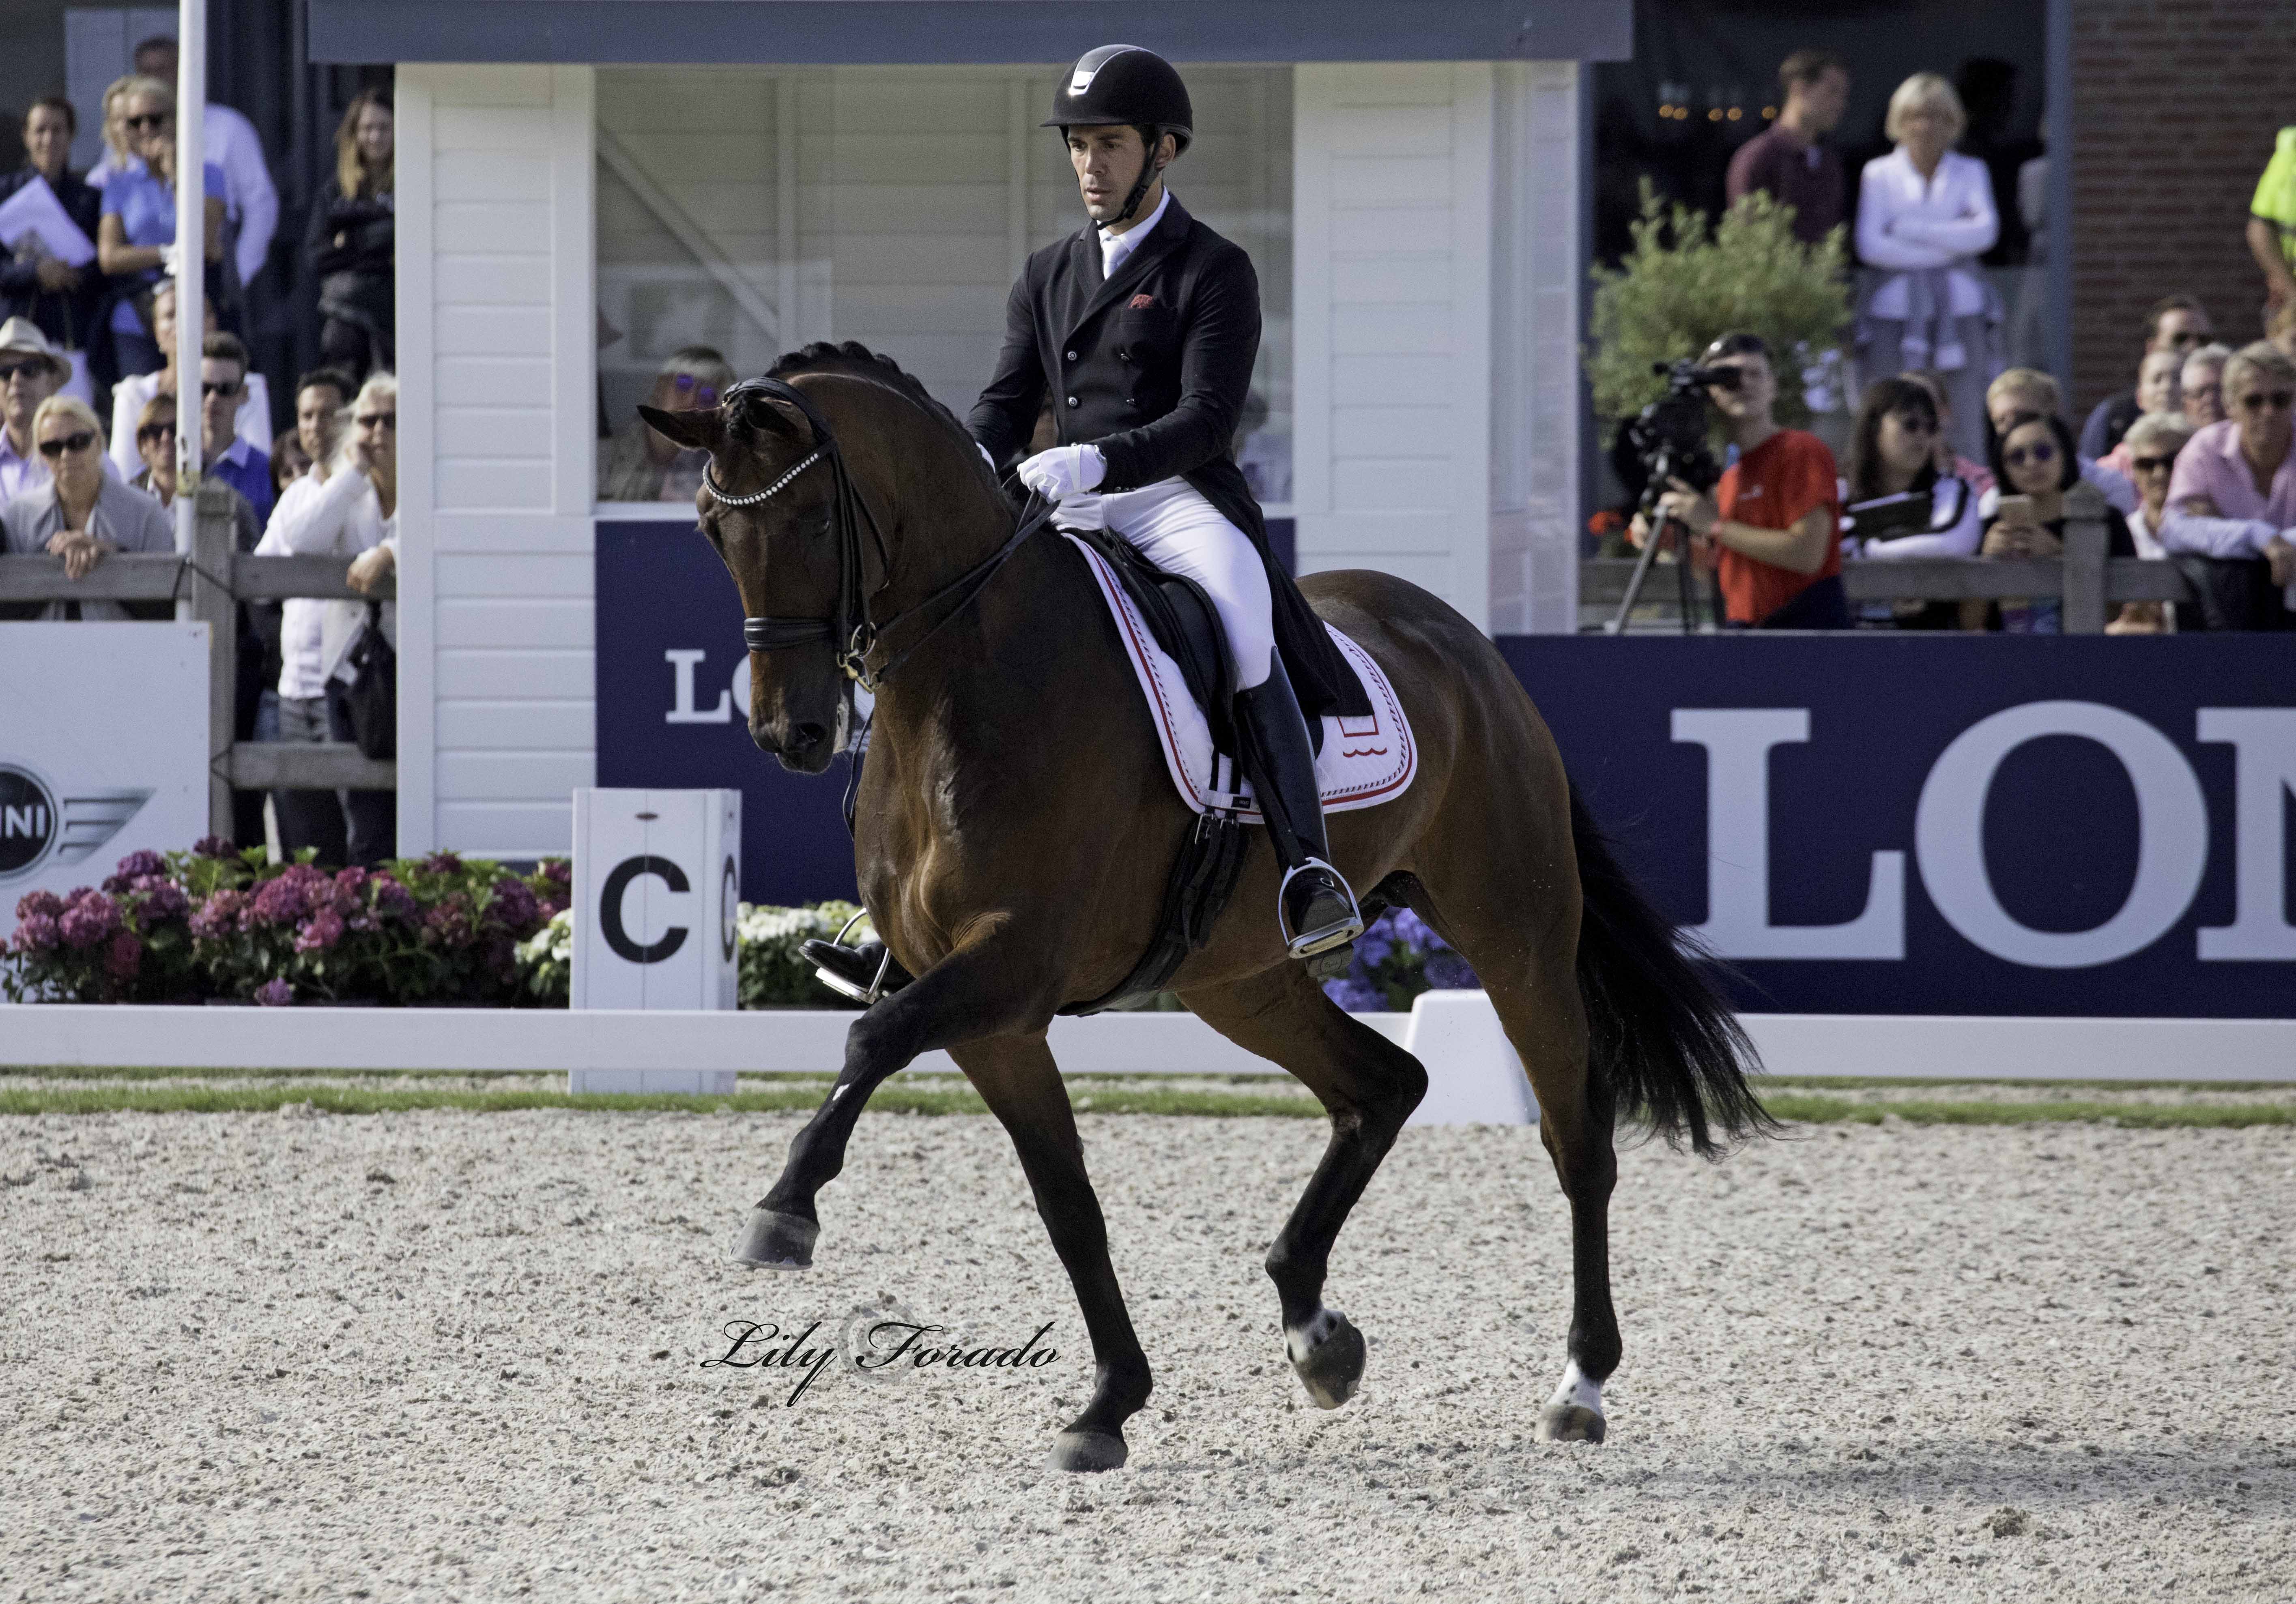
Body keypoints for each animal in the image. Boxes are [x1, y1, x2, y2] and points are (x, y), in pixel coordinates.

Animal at [638, 344, 1763, 1477]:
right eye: (712, 529)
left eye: (816, 523)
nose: (792, 733)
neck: (966, 685)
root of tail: (1465, 644)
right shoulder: (995, 1018)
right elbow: (1067, 1204)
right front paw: (1108, 1405)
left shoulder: (1013, 964)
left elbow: (872, 1038)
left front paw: (784, 1212)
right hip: (1239, 979)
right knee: (1383, 1085)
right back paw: (1316, 1334)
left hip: (1515, 935)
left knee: (1576, 1140)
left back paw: (1579, 1385)